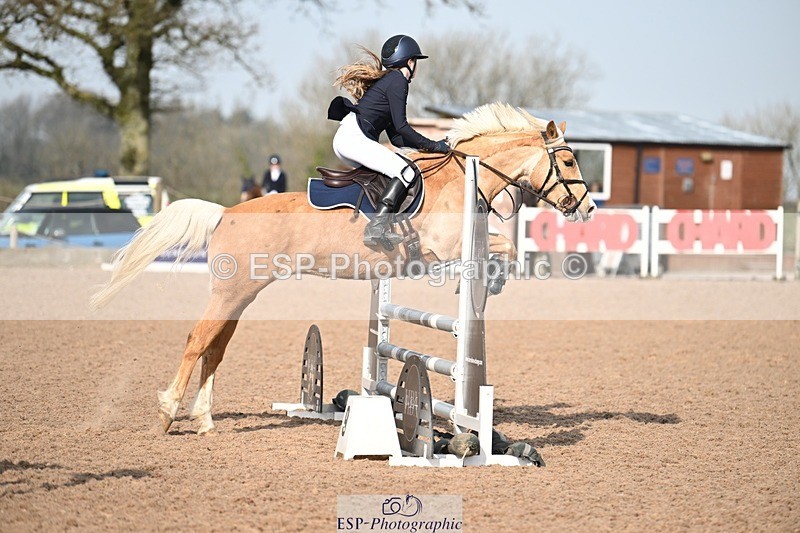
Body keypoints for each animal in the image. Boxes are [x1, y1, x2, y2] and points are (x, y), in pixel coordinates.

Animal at [91, 103, 596, 435]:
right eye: (570, 159)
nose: (588, 208)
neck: (461, 178)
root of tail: (225, 212)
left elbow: (503, 248)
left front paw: (489, 284)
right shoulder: (445, 249)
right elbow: (500, 247)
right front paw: (487, 284)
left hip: (239, 295)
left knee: (214, 349)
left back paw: (203, 419)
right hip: (231, 292)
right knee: (198, 340)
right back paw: (168, 412)